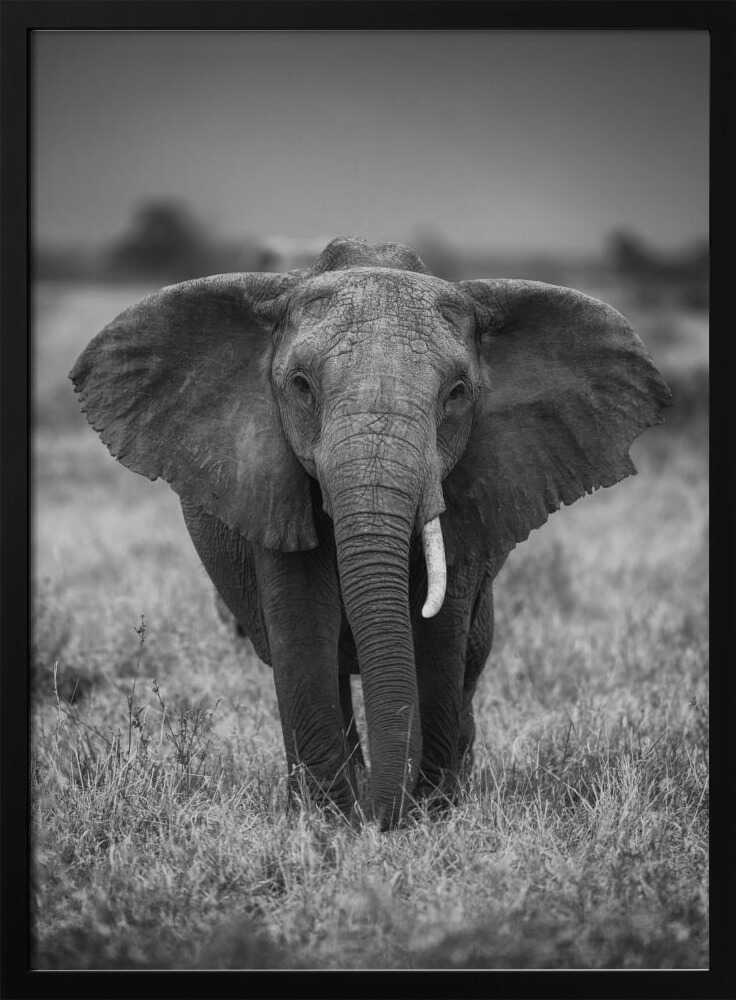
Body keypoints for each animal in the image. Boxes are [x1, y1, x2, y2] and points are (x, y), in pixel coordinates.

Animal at [70, 237, 671, 829]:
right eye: (301, 387)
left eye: (457, 393)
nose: (383, 818)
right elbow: (302, 624)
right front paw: (329, 821)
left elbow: (439, 632)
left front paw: (427, 813)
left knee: (471, 658)